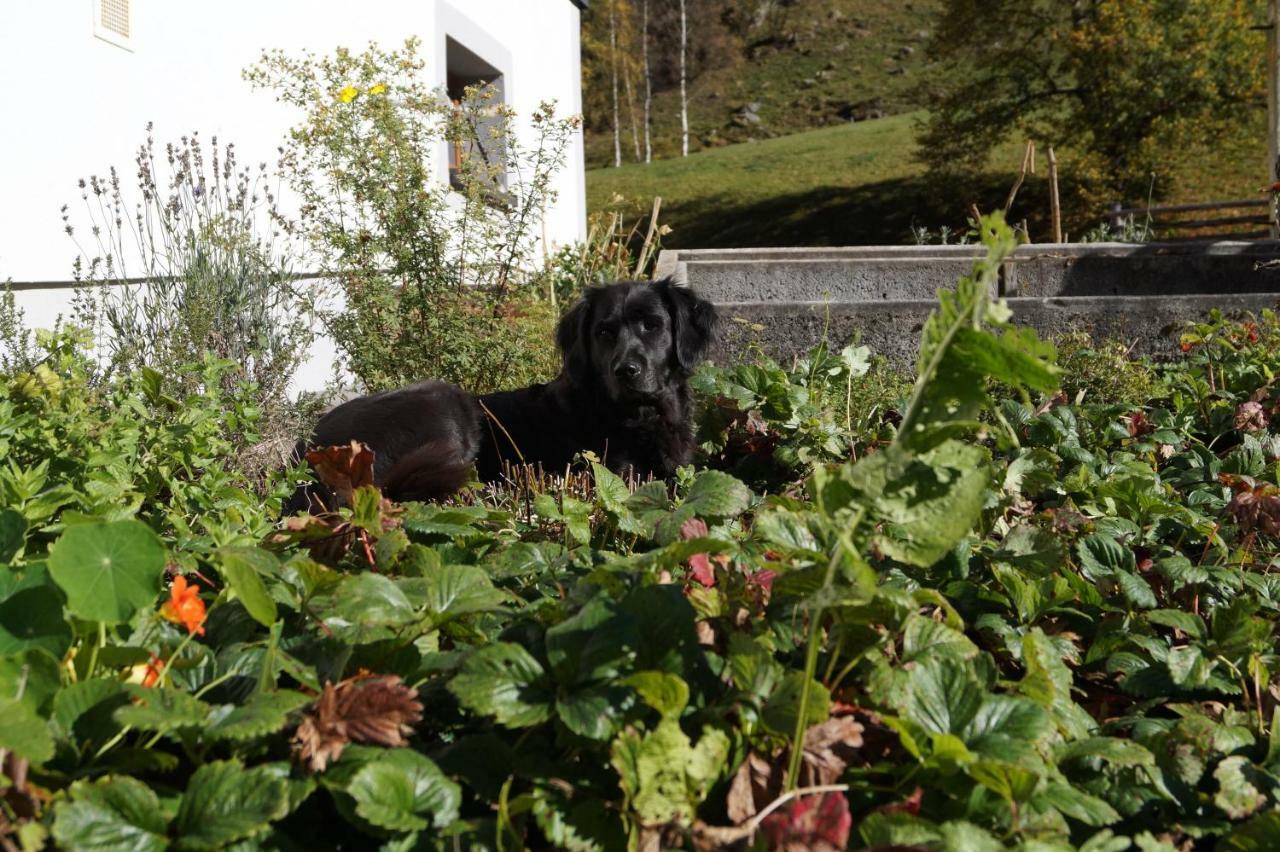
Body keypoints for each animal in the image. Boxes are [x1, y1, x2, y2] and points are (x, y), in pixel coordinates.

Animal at [293, 278, 721, 504]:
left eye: (652, 325)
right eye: (604, 332)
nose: (625, 370)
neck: (641, 417)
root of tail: (304, 449)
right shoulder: (614, 477)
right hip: (447, 404)